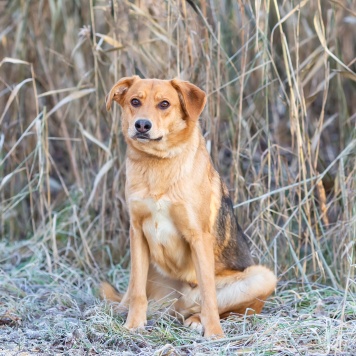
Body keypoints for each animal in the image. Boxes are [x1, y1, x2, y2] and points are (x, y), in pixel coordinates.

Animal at [101, 76, 276, 338]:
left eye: (164, 104)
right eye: (134, 101)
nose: (142, 125)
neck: (159, 163)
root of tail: (178, 304)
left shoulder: (198, 236)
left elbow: (209, 295)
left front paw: (214, 334)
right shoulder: (137, 232)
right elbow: (137, 291)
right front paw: (133, 325)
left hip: (263, 277)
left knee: (221, 307)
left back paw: (197, 320)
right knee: (135, 290)